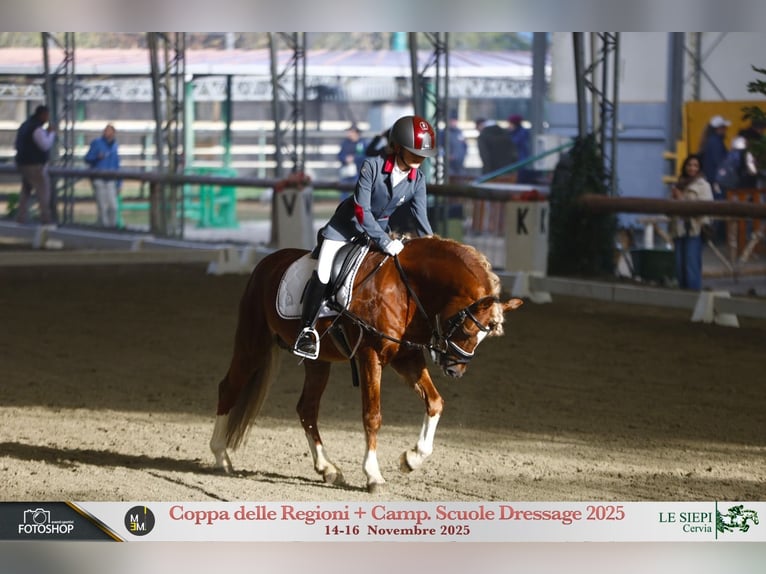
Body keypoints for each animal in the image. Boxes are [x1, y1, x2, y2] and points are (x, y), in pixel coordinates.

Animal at [209, 236, 523, 492]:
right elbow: (372, 415)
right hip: (253, 343)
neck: (406, 288)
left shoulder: (406, 358)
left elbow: (435, 402)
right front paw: (373, 475)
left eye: (484, 337)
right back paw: (221, 457)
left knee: (306, 409)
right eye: (468, 331)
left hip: (318, 361)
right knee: (228, 388)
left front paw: (412, 459)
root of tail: (268, 261)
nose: (455, 370)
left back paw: (327, 468)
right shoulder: (370, 355)